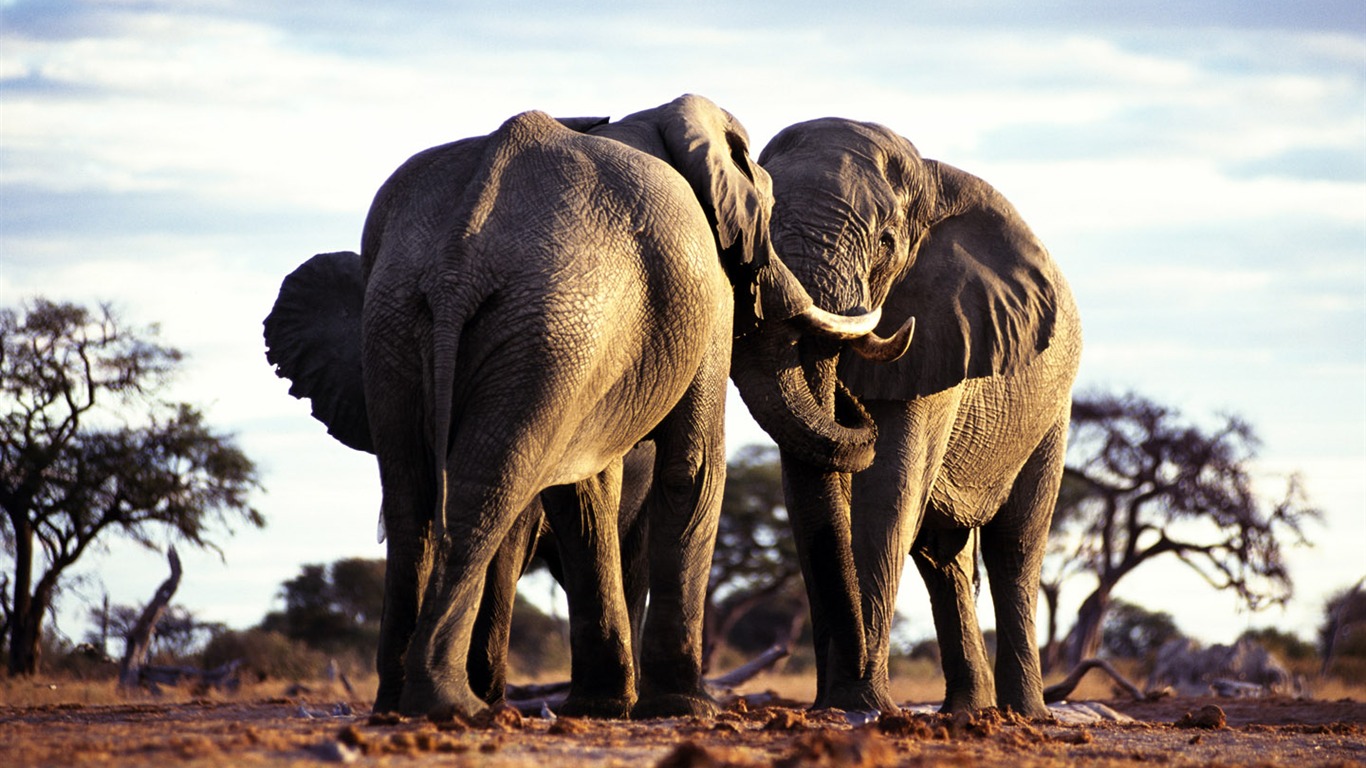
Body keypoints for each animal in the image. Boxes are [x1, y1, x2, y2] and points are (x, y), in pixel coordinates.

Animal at [262, 95, 896, 716]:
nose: (853, 401)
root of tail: (458, 261)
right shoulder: (708, 294)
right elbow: (692, 466)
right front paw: (682, 708)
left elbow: (583, 490)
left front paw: (601, 705)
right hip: (550, 326)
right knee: (485, 489)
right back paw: (454, 705)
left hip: (402, 323)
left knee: (410, 494)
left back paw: (400, 704)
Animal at [732, 116, 1081, 716]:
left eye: (885, 243)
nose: (847, 401)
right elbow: (809, 495)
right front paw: (837, 706)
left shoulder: (943, 332)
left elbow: (887, 490)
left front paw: (861, 705)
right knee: (943, 559)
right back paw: (967, 712)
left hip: (1052, 412)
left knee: (1014, 549)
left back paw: (1024, 713)